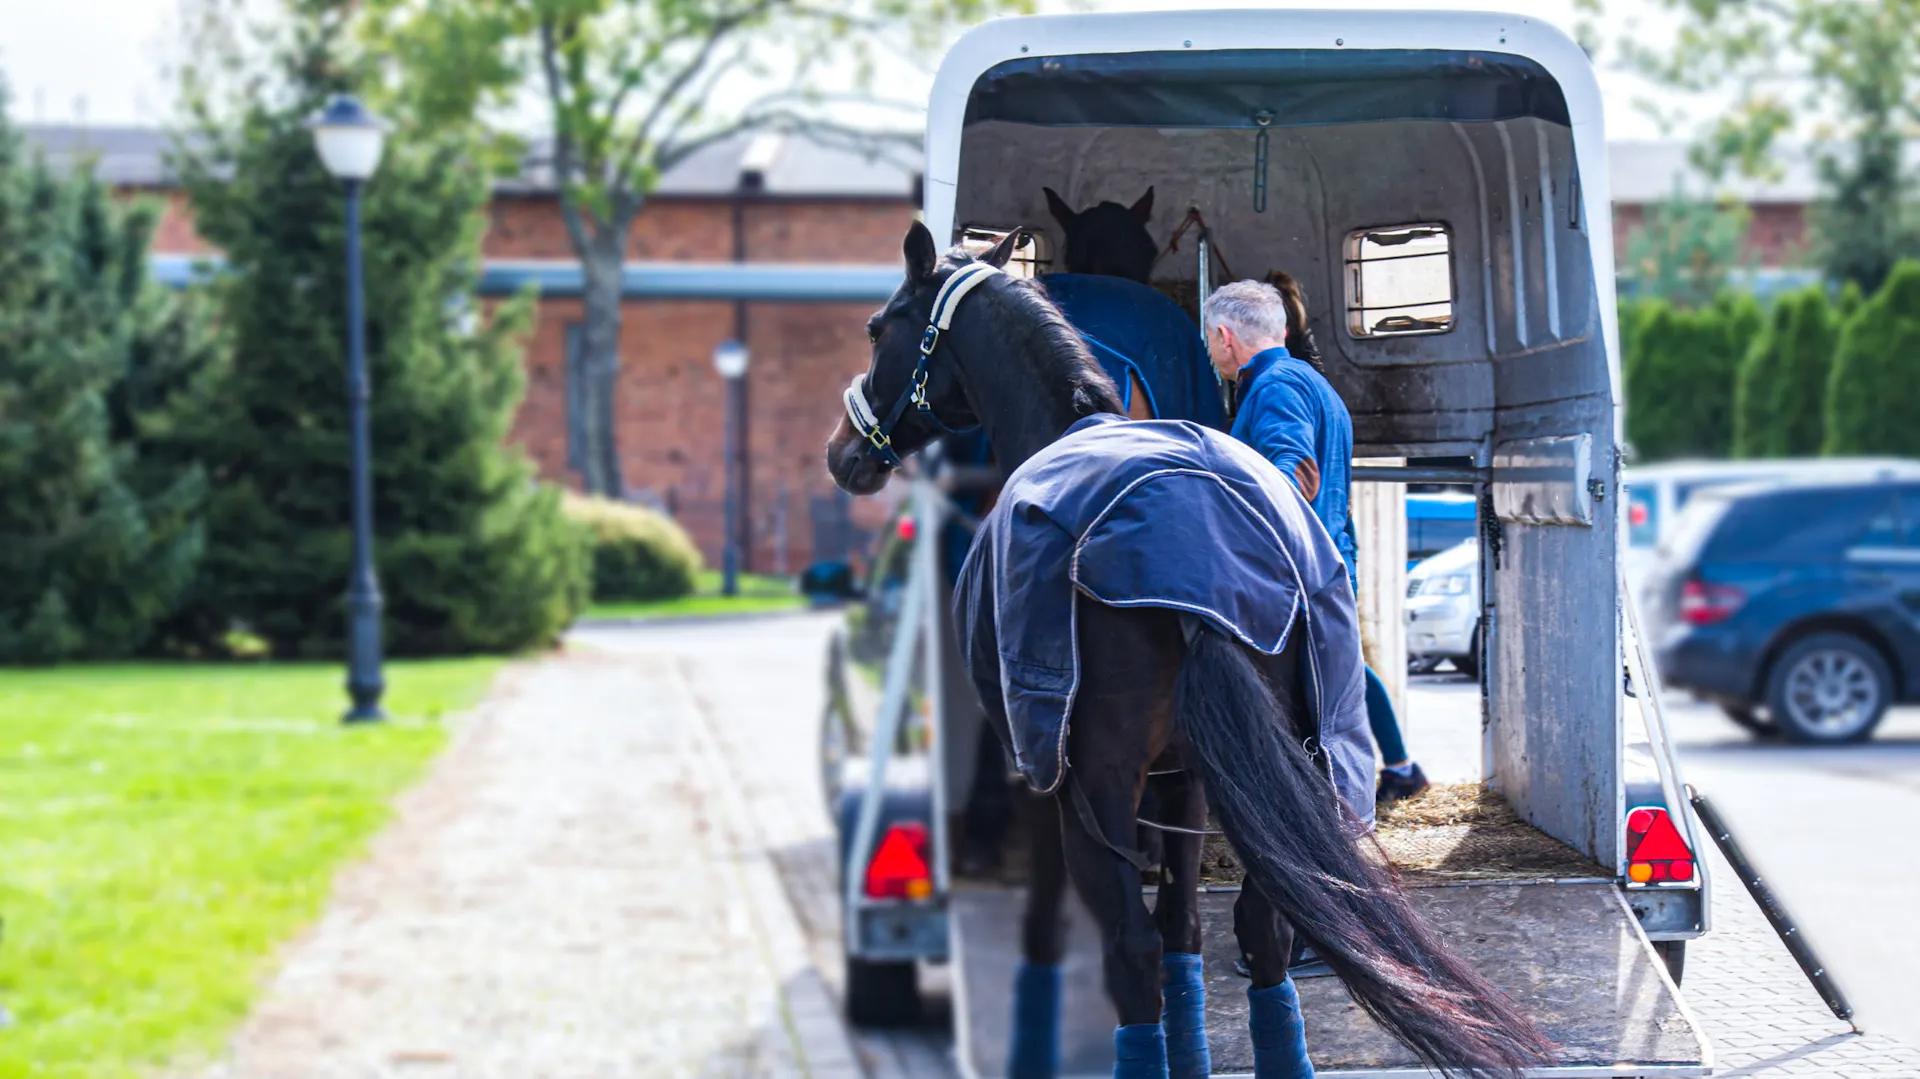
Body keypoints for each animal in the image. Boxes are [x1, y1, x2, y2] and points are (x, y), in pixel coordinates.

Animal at [825, 222, 1556, 1079]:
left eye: (878, 327)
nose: (844, 452)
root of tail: (1198, 550)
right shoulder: (1187, 783)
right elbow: (1187, 936)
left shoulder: (1046, 780)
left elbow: (1065, 936)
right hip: (1270, 769)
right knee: (1261, 932)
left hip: (1101, 788)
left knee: (1132, 953)